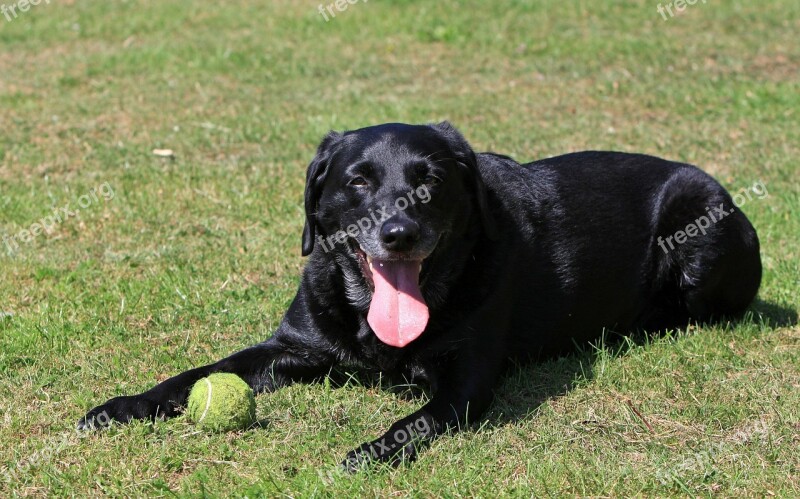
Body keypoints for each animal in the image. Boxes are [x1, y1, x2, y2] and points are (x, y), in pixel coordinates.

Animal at [79, 123, 764, 470]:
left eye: (430, 180)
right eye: (357, 180)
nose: (399, 232)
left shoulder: (465, 382)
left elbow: (416, 421)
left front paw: (368, 452)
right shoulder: (291, 346)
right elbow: (194, 375)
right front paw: (121, 407)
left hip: (697, 232)